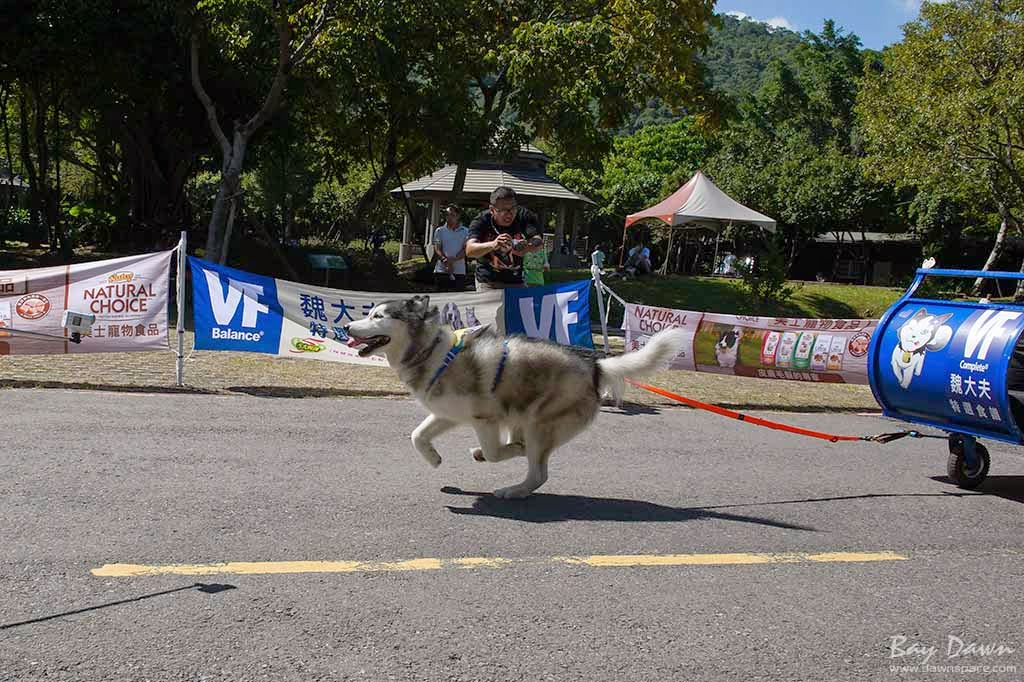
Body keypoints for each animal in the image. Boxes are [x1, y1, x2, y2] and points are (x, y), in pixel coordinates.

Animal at [346, 294, 688, 497]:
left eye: (378, 316)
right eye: (369, 313)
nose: (348, 327)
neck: (432, 353)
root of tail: (596, 364)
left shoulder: (484, 420)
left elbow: (496, 453)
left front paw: (496, 453)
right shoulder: (447, 414)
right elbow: (417, 435)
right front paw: (433, 458)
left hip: (539, 424)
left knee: (538, 473)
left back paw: (513, 489)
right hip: (522, 418)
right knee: (532, 461)